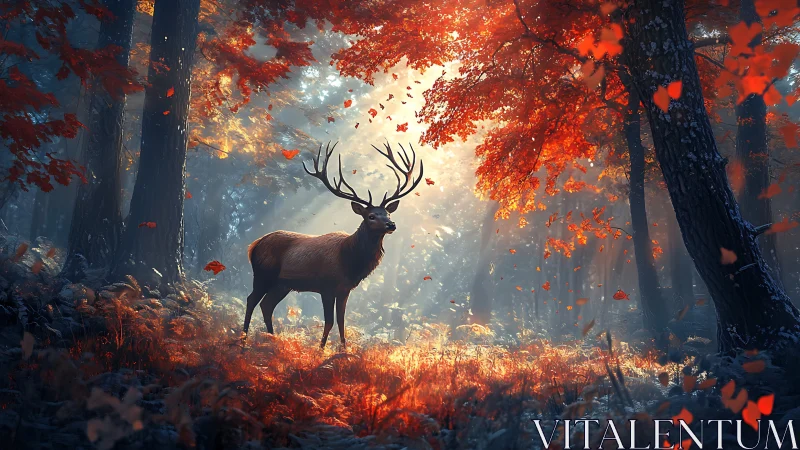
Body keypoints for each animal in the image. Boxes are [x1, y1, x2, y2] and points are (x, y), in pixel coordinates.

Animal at [242, 141, 424, 348]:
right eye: (371, 216)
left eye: (388, 213)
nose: (391, 224)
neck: (350, 261)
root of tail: (253, 245)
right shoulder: (326, 286)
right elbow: (329, 321)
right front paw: (321, 349)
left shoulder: (345, 289)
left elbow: (341, 321)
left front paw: (343, 349)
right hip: (263, 274)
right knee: (251, 300)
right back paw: (243, 339)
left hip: (283, 284)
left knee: (266, 305)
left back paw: (271, 339)